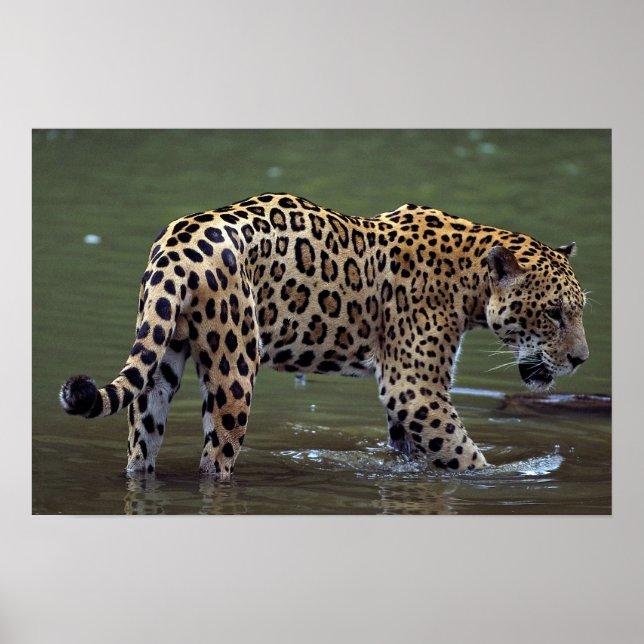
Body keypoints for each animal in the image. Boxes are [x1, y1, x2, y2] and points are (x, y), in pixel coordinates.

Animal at [60, 193, 589, 479]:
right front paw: (503, 478)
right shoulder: (415, 390)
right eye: (554, 314)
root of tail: (178, 243)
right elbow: (465, 455)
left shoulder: (405, 401)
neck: (471, 282)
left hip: (160, 359)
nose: (581, 359)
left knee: (141, 448)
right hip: (234, 373)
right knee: (215, 461)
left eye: (579, 310)